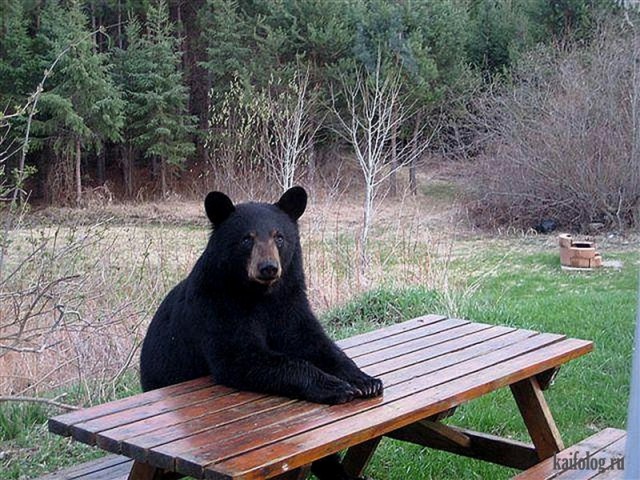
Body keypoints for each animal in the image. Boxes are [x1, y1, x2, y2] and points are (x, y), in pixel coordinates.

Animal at [139, 186, 383, 480]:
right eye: (247, 239)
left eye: (279, 237)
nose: (268, 267)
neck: (260, 295)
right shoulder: (216, 306)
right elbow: (242, 357)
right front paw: (335, 386)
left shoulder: (289, 303)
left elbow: (314, 342)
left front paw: (364, 380)